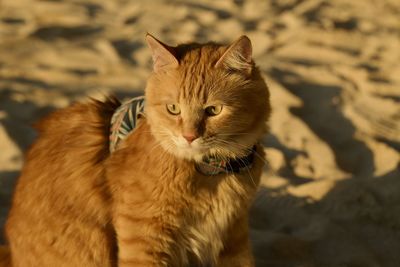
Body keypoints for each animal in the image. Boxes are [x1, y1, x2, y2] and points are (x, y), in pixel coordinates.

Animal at [2, 34, 268, 267]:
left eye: (213, 110)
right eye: (173, 109)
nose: (189, 137)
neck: (212, 171)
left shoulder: (234, 235)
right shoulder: (144, 238)